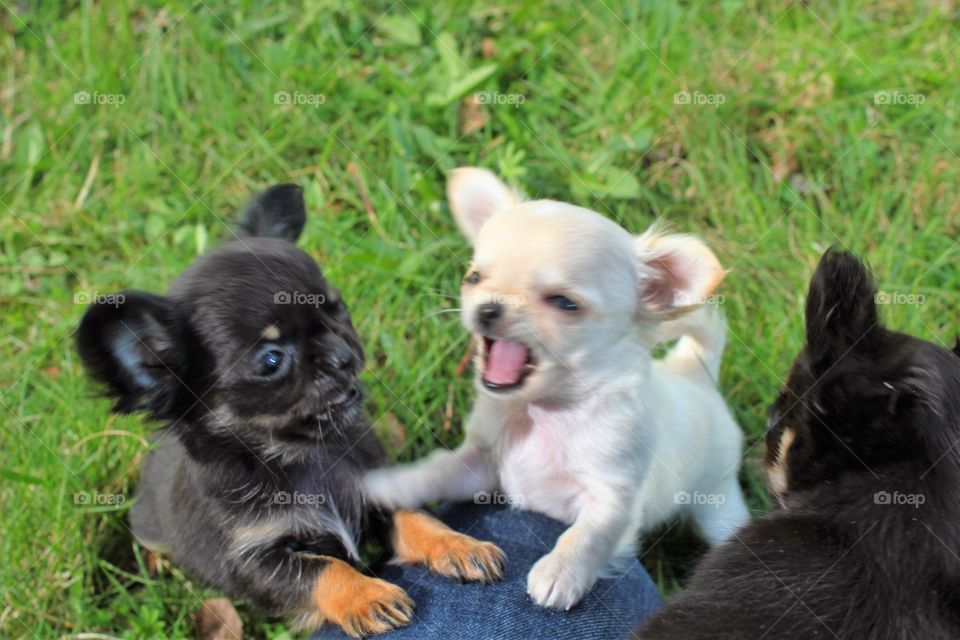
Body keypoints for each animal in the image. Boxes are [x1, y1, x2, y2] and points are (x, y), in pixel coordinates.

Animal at [79, 184, 506, 636]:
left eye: (338, 310)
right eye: (271, 360)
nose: (341, 354)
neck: (306, 455)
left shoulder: (378, 490)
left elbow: (414, 517)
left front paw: (457, 545)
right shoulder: (256, 559)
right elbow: (323, 569)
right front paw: (368, 596)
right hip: (148, 521)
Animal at [366, 168, 752, 608]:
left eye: (564, 303)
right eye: (474, 278)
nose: (487, 308)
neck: (545, 410)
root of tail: (693, 373)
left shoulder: (614, 497)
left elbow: (587, 535)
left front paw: (559, 573)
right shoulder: (484, 468)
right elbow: (440, 469)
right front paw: (394, 483)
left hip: (717, 499)